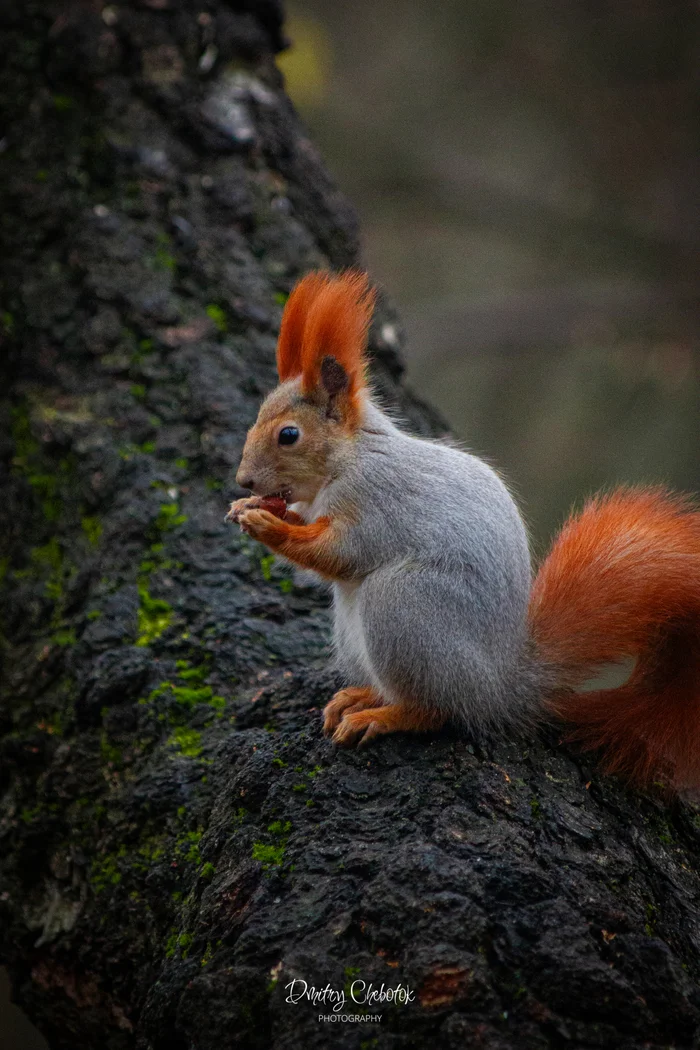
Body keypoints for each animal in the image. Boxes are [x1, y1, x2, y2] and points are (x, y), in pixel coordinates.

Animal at [228, 266, 700, 789]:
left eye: (288, 435)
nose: (243, 480)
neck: (350, 458)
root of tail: (498, 688)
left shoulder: (378, 503)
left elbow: (341, 553)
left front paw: (267, 524)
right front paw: (254, 509)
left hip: (406, 606)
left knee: (435, 711)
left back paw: (383, 715)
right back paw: (362, 696)